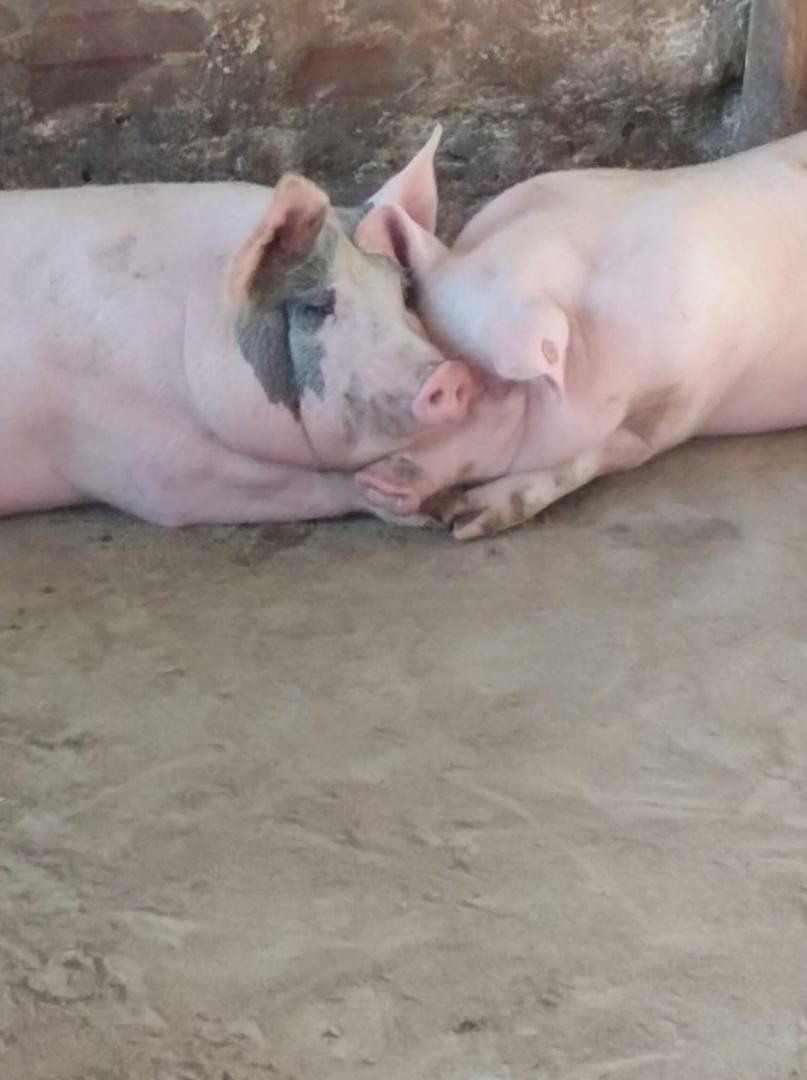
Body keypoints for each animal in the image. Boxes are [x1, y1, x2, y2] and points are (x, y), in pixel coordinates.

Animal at [354, 130, 807, 538]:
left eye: (498, 388)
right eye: (422, 334)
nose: (371, 480)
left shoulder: (679, 408)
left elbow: (583, 461)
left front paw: (467, 519)